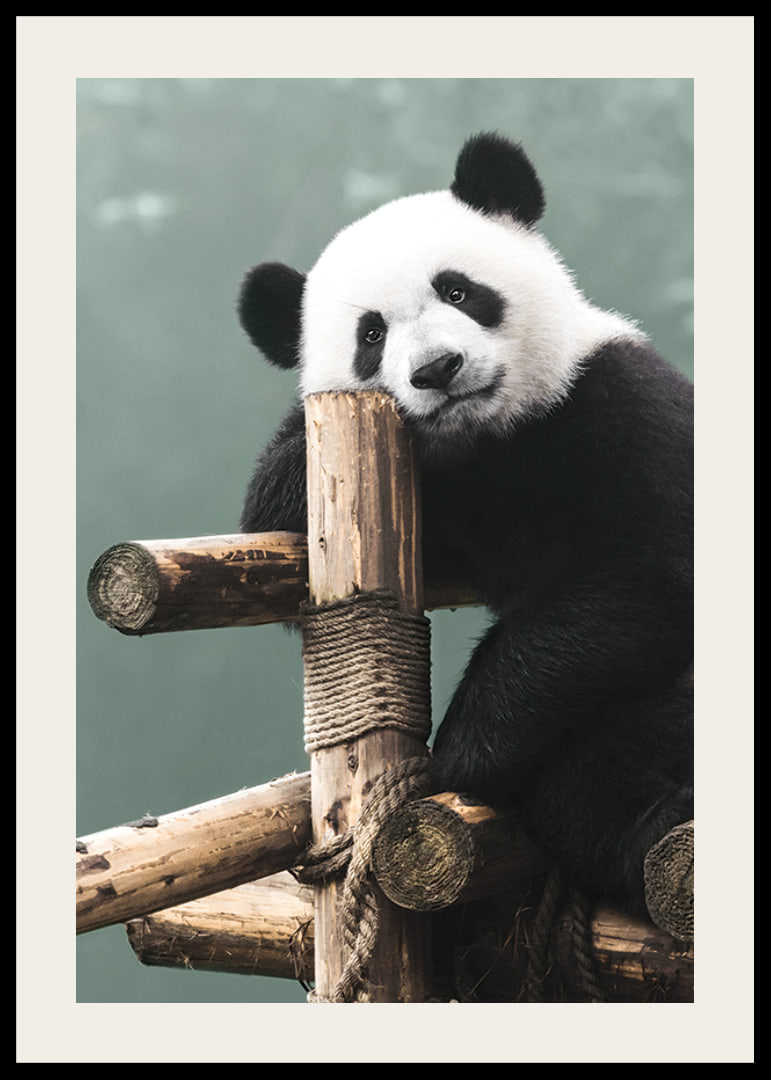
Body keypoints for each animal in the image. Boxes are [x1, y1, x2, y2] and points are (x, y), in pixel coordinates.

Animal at [237, 132, 693, 919]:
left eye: (457, 291)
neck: (492, 438)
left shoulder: (622, 405)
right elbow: (270, 520)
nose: (437, 368)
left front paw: (459, 752)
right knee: (587, 789)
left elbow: (642, 573)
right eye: (370, 334)